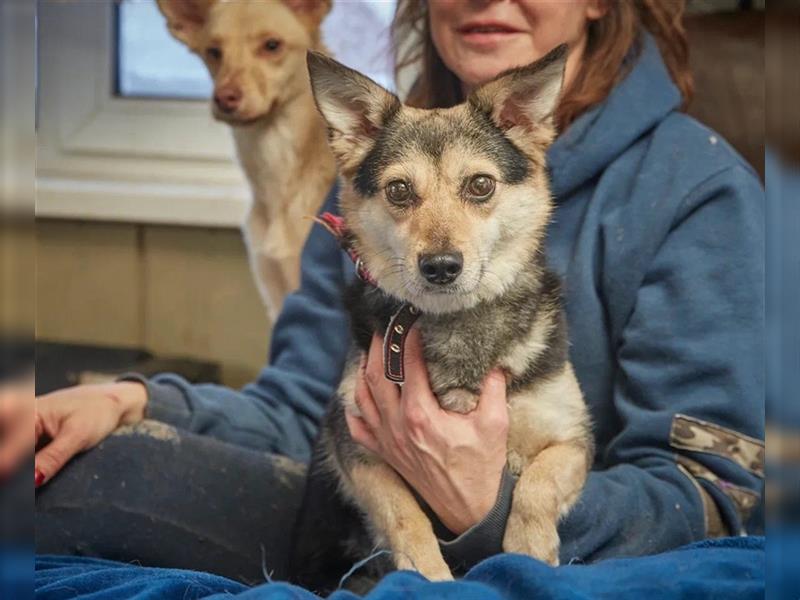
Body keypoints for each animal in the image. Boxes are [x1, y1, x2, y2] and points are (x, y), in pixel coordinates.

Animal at [290, 48, 592, 592]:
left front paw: (531, 549)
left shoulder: (573, 438)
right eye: (399, 190)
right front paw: (426, 574)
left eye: (480, 185)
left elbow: (537, 483)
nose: (441, 266)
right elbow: (403, 514)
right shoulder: (356, 448)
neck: (453, 324)